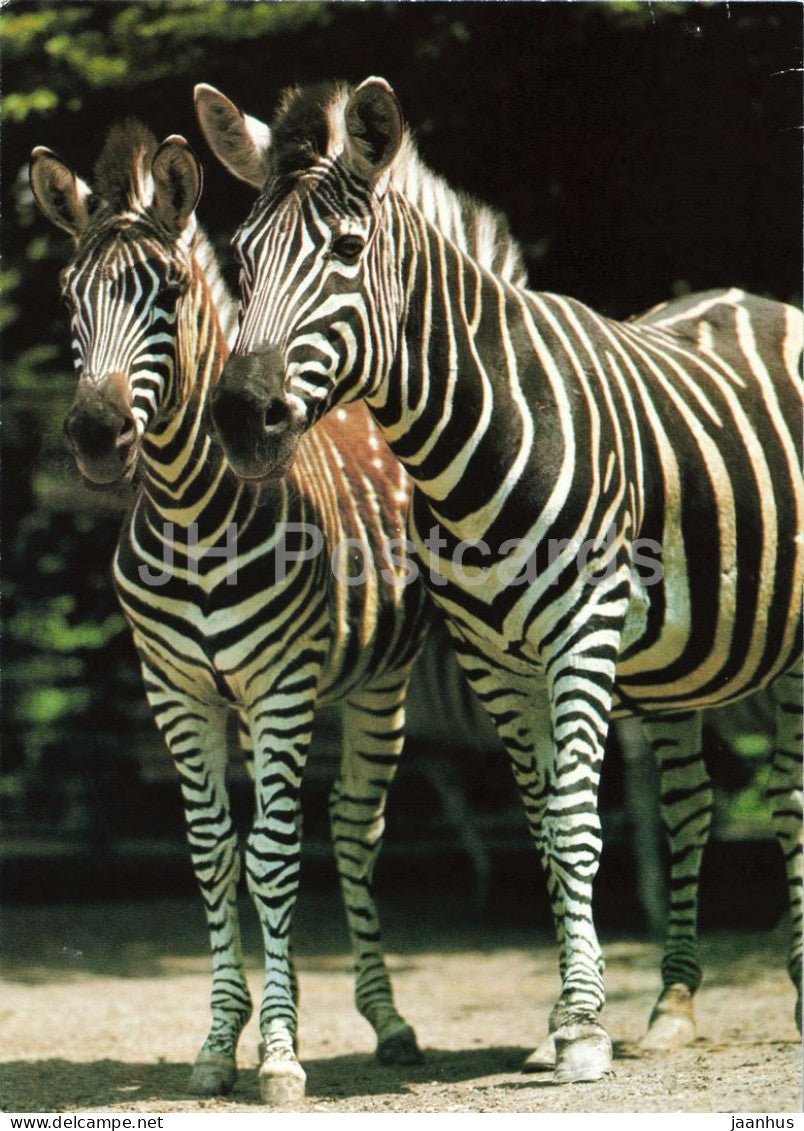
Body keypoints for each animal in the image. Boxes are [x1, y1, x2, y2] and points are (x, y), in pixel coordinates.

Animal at [29, 108, 529, 1106]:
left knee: (353, 835)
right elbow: (217, 854)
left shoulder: (278, 687)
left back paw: (387, 1023)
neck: (191, 515)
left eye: (167, 290)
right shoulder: (178, 693)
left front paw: (283, 1051)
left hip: (374, 690)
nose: (97, 435)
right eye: (69, 295)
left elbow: (273, 857)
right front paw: (224, 1040)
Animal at [207, 76, 803, 1084]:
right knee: (690, 808)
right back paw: (674, 1005)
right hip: (678, 669)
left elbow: (577, 822)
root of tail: (756, 297)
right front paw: (565, 1017)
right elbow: (544, 829)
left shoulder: (585, 632)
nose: (244, 416)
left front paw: (585, 1028)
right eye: (242, 261)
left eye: (348, 250)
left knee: (790, 801)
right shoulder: (494, 659)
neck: (472, 445)